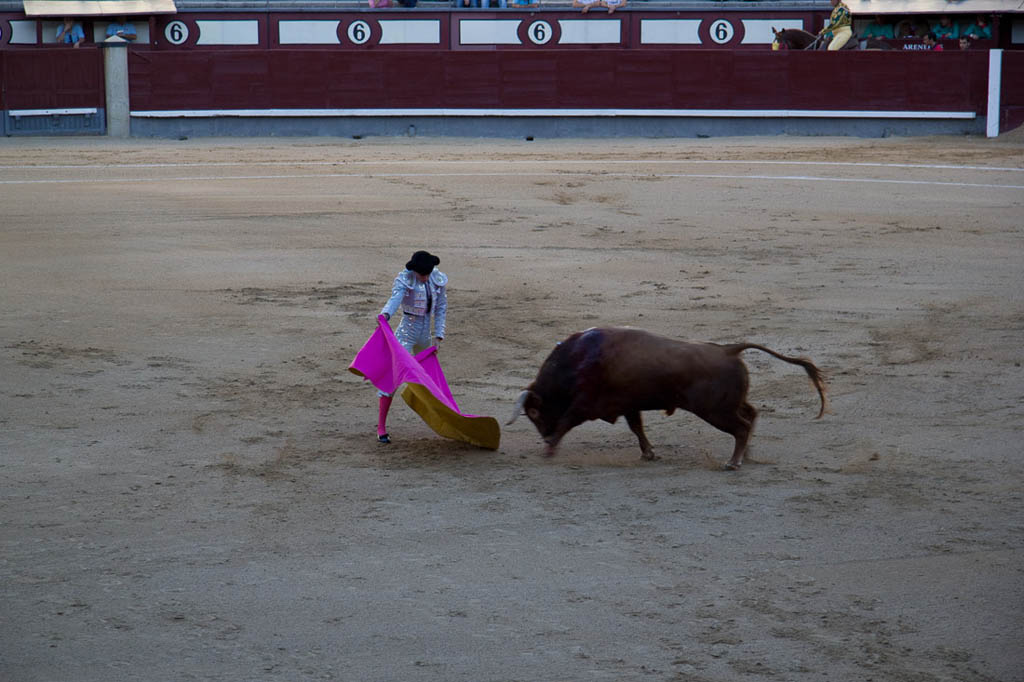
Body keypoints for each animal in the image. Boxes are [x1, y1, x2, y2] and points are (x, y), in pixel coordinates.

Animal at [507, 325, 827, 466]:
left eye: (534, 412)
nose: (544, 437)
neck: (576, 360)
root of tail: (728, 349)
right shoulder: (628, 404)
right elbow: (637, 428)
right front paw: (649, 453)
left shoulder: (585, 404)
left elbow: (566, 422)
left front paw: (550, 450)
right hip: (728, 404)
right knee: (750, 414)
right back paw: (746, 454)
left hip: (715, 411)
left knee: (741, 426)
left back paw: (734, 462)